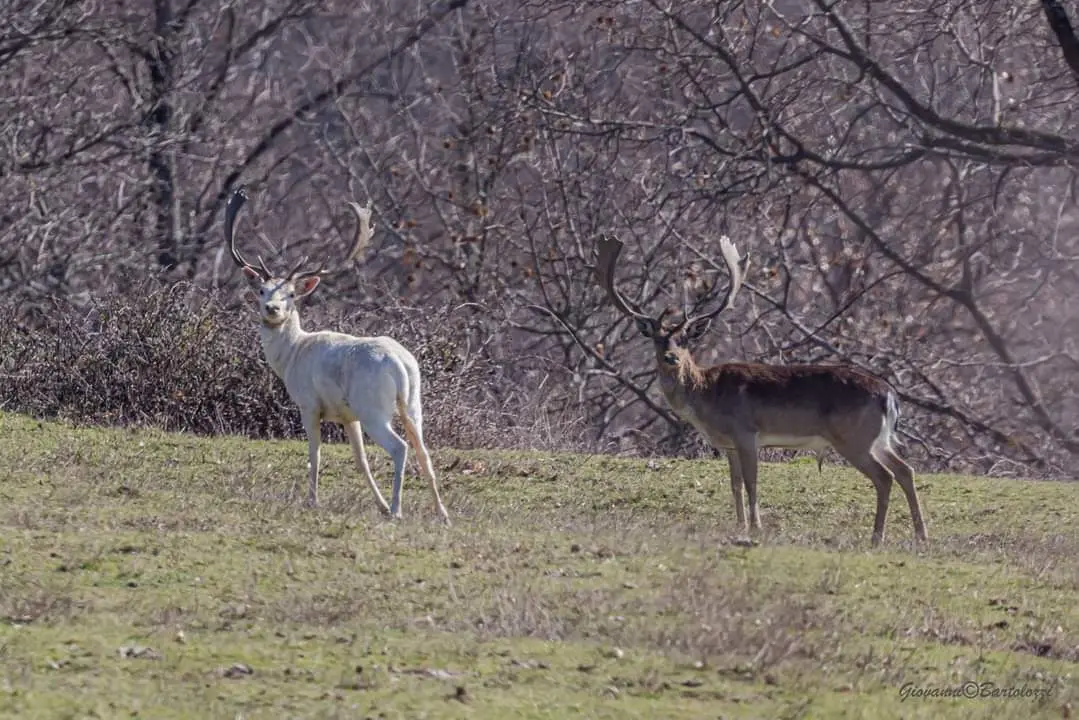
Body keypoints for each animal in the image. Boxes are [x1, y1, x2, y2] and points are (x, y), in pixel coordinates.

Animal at [225, 185, 448, 524]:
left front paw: (312, 500)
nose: (272, 309)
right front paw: (378, 504)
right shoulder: (346, 415)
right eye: (262, 290)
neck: (291, 355)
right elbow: (360, 460)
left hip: (373, 407)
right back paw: (441, 514)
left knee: (400, 447)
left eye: (291, 294)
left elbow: (314, 453)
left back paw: (397, 510)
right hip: (412, 403)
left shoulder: (308, 404)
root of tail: (400, 365)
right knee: (424, 450)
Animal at [595, 236, 923, 546]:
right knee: (905, 470)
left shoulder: (746, 432)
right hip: (878, 439)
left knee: (885, 476)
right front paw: (740, 525)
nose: (671, 358)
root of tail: (889, 396)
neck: (705, 397)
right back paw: (921, 535)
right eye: (658, 340)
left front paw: (756, 526)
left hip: (854, 437)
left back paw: (877, 537)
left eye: (685, 339)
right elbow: (735, 484)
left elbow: (752, 482)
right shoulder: (728, 444)